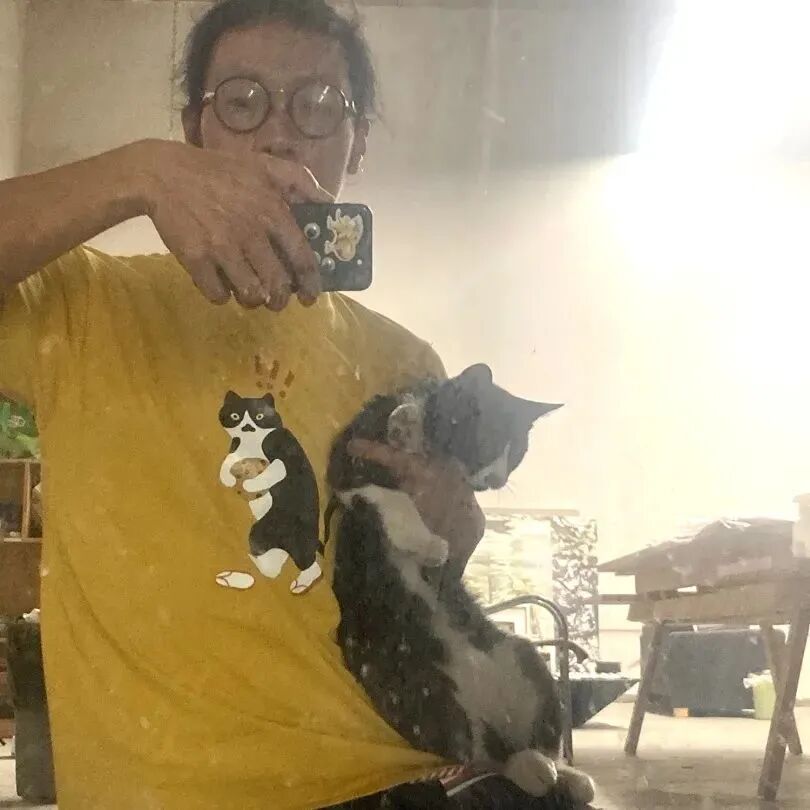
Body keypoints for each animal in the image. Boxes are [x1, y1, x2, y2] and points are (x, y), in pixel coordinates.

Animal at [218, 391, 323, 595]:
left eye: (259, 416)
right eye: (235, 416)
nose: (248, 427)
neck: (252, 442)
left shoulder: (281, 454)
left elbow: (273, 471)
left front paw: (250, 484)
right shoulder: (236, 447)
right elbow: (229, 460)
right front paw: (227, 478)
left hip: (289, 537)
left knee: (312, 567)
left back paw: (300, 585)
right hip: (264, 532)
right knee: (272, 569)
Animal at [326, 364, 594, 803]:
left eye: (517, 454)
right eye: (488, 439)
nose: (495, 479)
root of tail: (492, 717)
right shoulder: (349, 459)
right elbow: (392, 495)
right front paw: (428, 542)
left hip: (525, 658)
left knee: (525, 748)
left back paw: (562, 773)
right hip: (422, 691)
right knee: (479, 757)